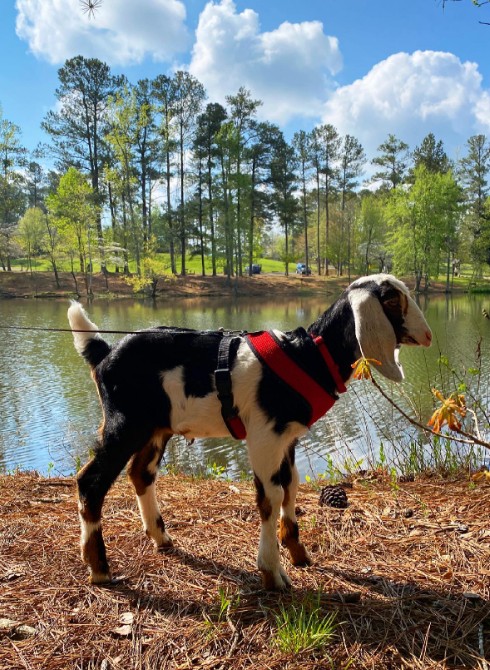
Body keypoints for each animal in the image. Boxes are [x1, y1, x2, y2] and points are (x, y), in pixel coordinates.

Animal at [67, 273, 432, 590]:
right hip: (124, 423)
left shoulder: (288, 438)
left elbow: (291, 487)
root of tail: (104, 352)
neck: (307, 357)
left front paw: (297, 553)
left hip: (156, 428)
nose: (428, 336)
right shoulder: (264, 437)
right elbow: (270, 497)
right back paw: (99, 568)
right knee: (91, 481)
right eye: (393, 300)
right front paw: (272, 572)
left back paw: (161, 538)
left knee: (141, 473)